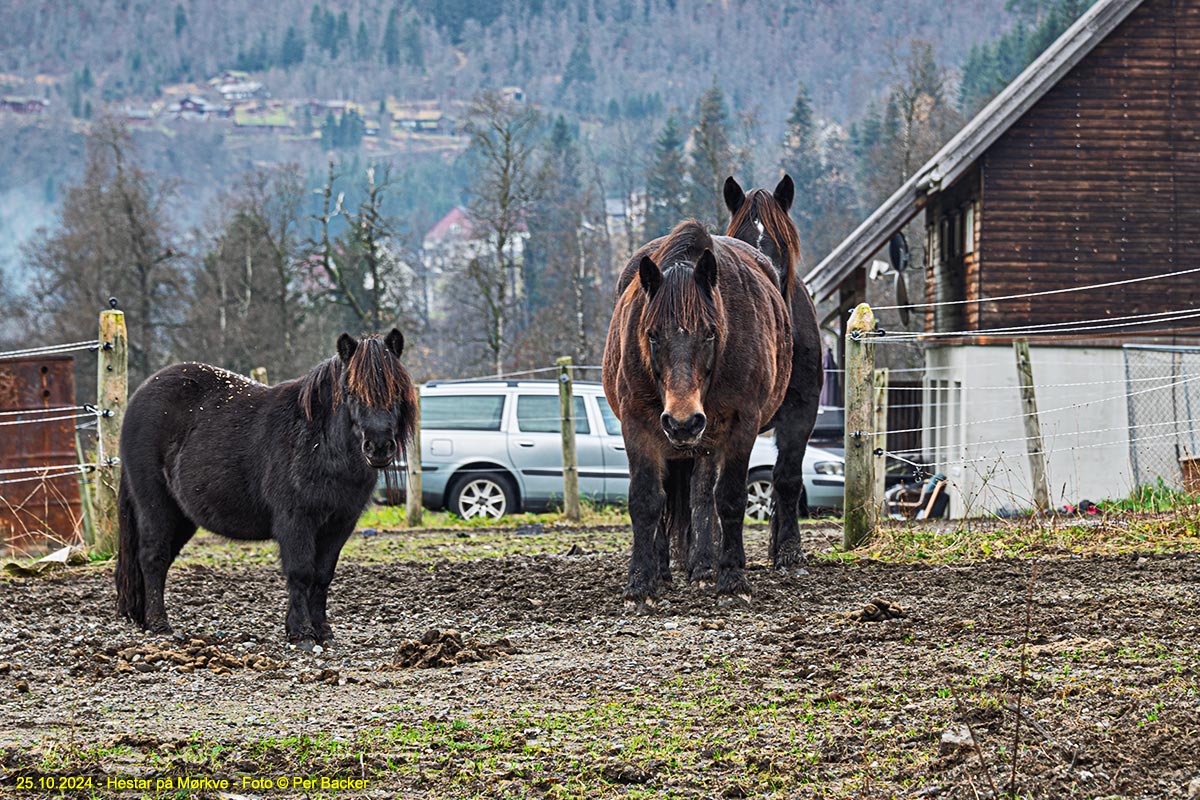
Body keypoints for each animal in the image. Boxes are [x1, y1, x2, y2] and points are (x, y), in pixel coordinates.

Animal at [117, 328, 417, 647]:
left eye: (397, 390)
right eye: (350, 392)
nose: (379, 447)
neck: (317, 442)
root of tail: (140, 396)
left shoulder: (339, 525)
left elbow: (323, 576)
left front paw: (323, 632)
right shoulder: (295, 521)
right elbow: (301, 573)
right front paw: (301, 633)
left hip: (182, 517)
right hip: (155, 506)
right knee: (153, 558)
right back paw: (159, 624)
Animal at [604, 219, 792, 606]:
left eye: (709, 333)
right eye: (652, 334)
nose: (683, 422)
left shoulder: (741, 426)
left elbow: (729, 499)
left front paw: (732, 578)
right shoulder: (637, 424)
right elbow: (646, 500)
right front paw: (639, 584)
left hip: (707, 441)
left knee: (703, 497)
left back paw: (705, 569)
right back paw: (662, 572)